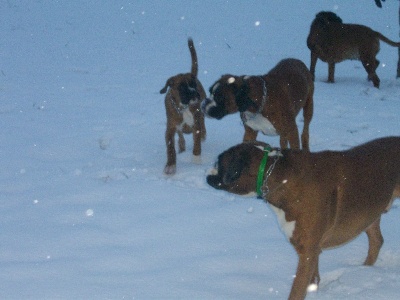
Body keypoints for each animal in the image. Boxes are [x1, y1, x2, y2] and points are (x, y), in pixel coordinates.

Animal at [159, 37, 206, 175]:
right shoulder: (170, 129)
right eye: (182, 87)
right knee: (180, 135)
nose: (195, 93)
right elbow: (170, 148)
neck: (184, 107)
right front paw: (170, 165)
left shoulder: (196, 125)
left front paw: (196, 161)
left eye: (193, 84)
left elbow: (197, 145)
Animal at [206, 138, 400, 300]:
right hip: (370, 213)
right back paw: (364, 269)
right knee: (376, 240)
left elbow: (297, 289)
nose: (207, 172)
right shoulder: (311, 250)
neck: (275, 173)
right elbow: (313, 278)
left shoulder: (307, 252)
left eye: (219, 162)